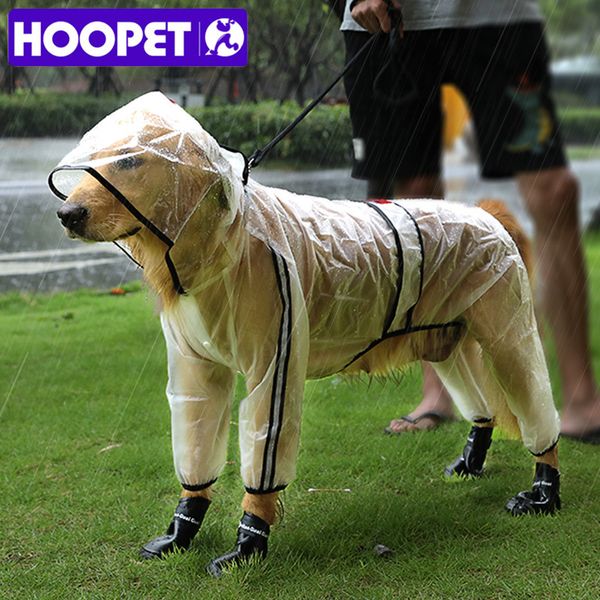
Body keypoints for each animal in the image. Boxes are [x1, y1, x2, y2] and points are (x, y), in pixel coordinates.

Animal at [49, 92, 560, 576]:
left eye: (129, 161)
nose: (68, 214)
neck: (225, 237)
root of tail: (487, 214)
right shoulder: (197, 372)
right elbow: (195, 453)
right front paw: (181, 530)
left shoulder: (272, 365)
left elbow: (263, 460)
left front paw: (247, 546)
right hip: (446, 341)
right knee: (484, 409)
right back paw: (471, 462)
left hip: (508, 336)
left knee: (536, 407)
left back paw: (544, 492)